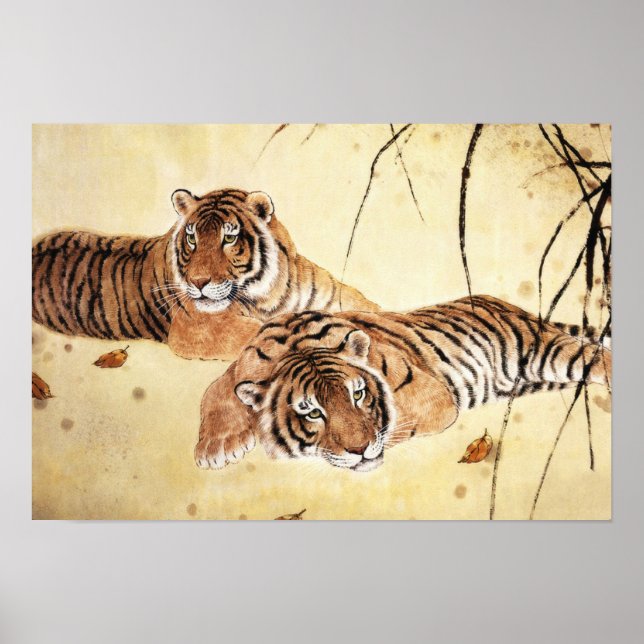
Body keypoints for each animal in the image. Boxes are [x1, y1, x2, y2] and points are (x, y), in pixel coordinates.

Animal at [32, 187, 379, 359]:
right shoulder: (201, 330)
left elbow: (369, 308)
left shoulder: (331, 294)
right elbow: (263, 334)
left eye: (229, 237)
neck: (270, 294)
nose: (197, 283)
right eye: (191, 238)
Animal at [195, 295, 611, 472]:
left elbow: (396, 423)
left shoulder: (430, 396)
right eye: (312, 412)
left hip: (542, 351)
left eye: (358, 394)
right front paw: (216, 448)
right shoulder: (243, 364)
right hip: (535, 379)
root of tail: (511, 305)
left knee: (596, 355)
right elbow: (215, 390)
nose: (361, 451)